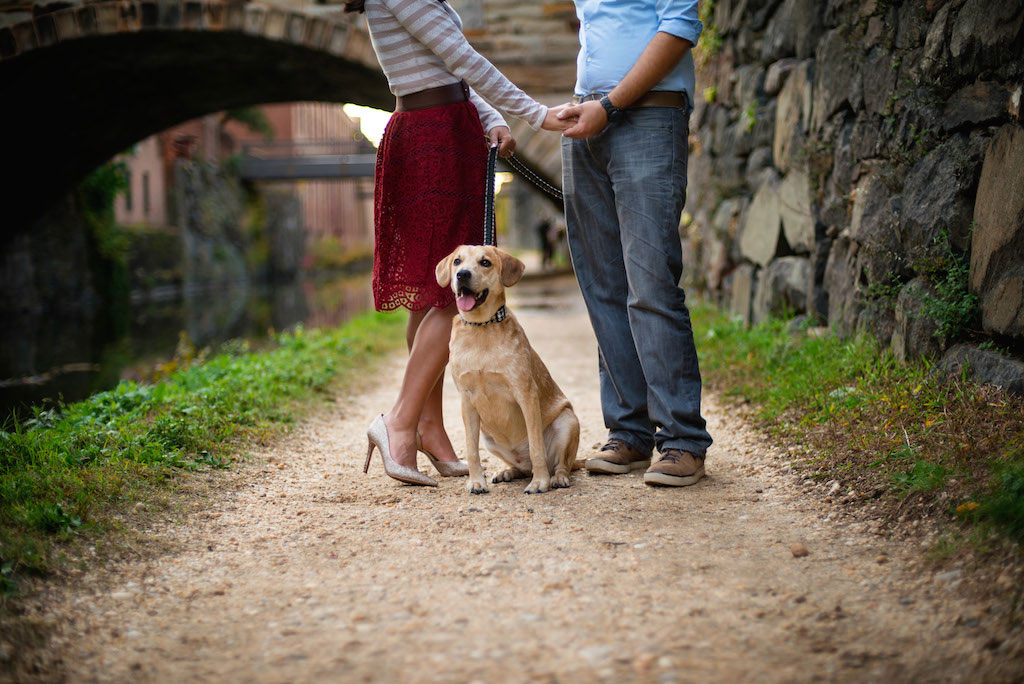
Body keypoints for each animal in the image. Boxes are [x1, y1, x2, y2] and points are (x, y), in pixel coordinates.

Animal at [434, 245, 585, 497]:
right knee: (521, 468)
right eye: (457, 261)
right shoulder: (467, 401)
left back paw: (556, 478)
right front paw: (476, 482)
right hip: (489, 439)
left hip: (567, 421)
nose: (462, 274)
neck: (481, 329)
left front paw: (540, 483)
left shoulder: (525, 393)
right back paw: (507, 471)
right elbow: (471, 450)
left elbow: (536, 446)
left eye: (485, 262)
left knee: (562, 464)